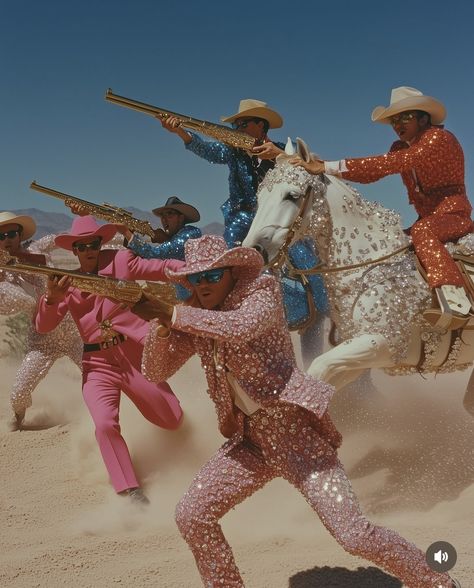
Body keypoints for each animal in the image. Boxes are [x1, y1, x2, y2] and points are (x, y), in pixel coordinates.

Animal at [243, 140, 474, 412]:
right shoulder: (354, 355)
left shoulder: (380, 343)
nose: (253, 250)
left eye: (292, 195)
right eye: (259, 196)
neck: (367, 266)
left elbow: (318, 369)